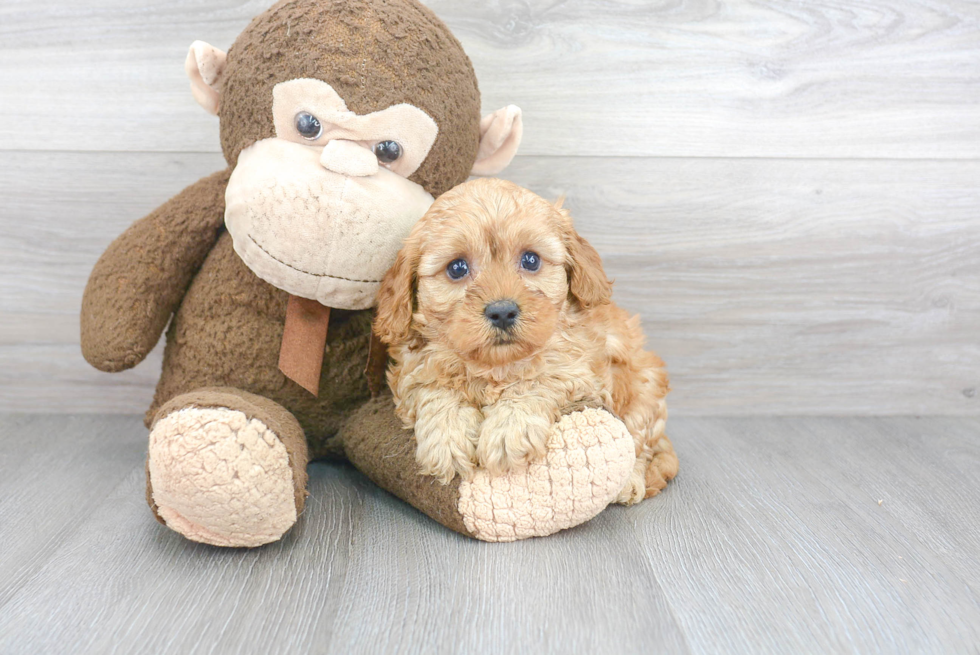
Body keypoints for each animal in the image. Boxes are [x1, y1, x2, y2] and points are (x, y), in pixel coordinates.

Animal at [374, 177, 672, 504]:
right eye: (457, 268)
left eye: (531, 260)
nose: (502, 311)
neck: (494, 366)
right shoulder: (413, 370)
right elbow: (436, 390)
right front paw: (447, 438)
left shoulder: (578, 370)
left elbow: (534, 381)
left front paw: (508, 432)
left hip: (644, 388)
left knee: (640, 442)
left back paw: (630, 480)